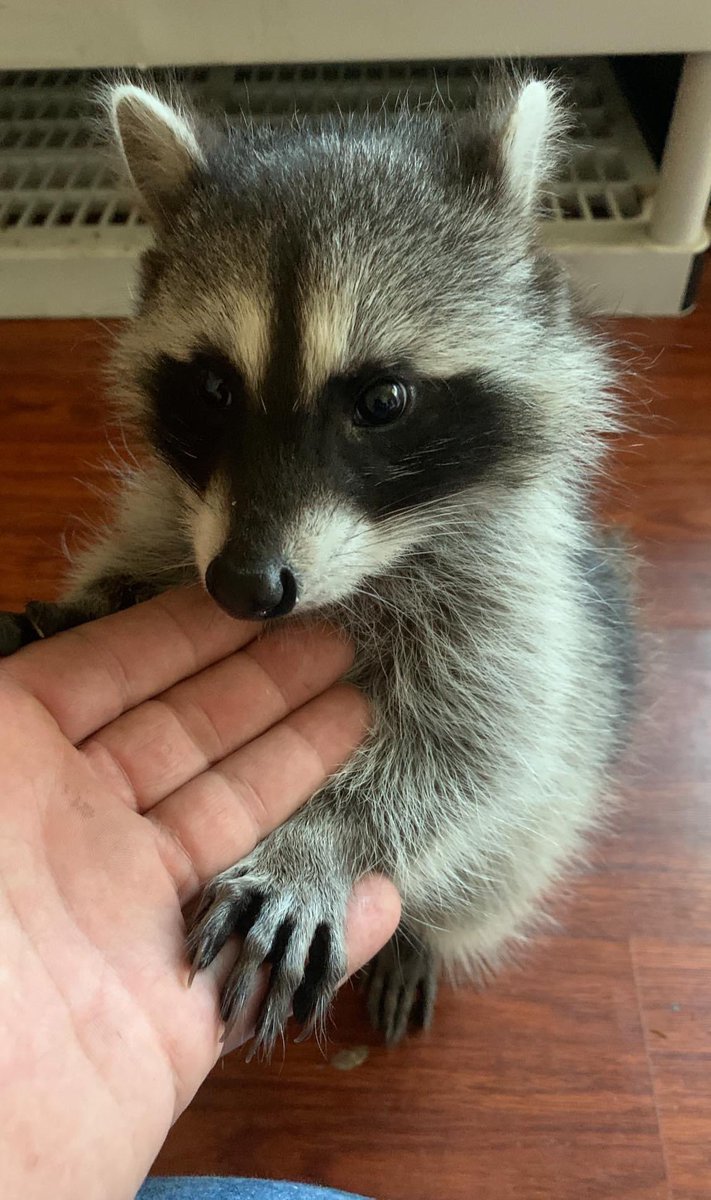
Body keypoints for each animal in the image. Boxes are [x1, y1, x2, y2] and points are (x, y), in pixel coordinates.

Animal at [0, 75, 635, 1053]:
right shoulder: (179, 513)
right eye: (214, 389)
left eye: (382, 401)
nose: (244, 587)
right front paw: (91, 601)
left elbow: (482, 744)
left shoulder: (519, 596)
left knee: (510, 849)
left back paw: (418, 934)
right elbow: (141, 547)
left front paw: (322, 841)